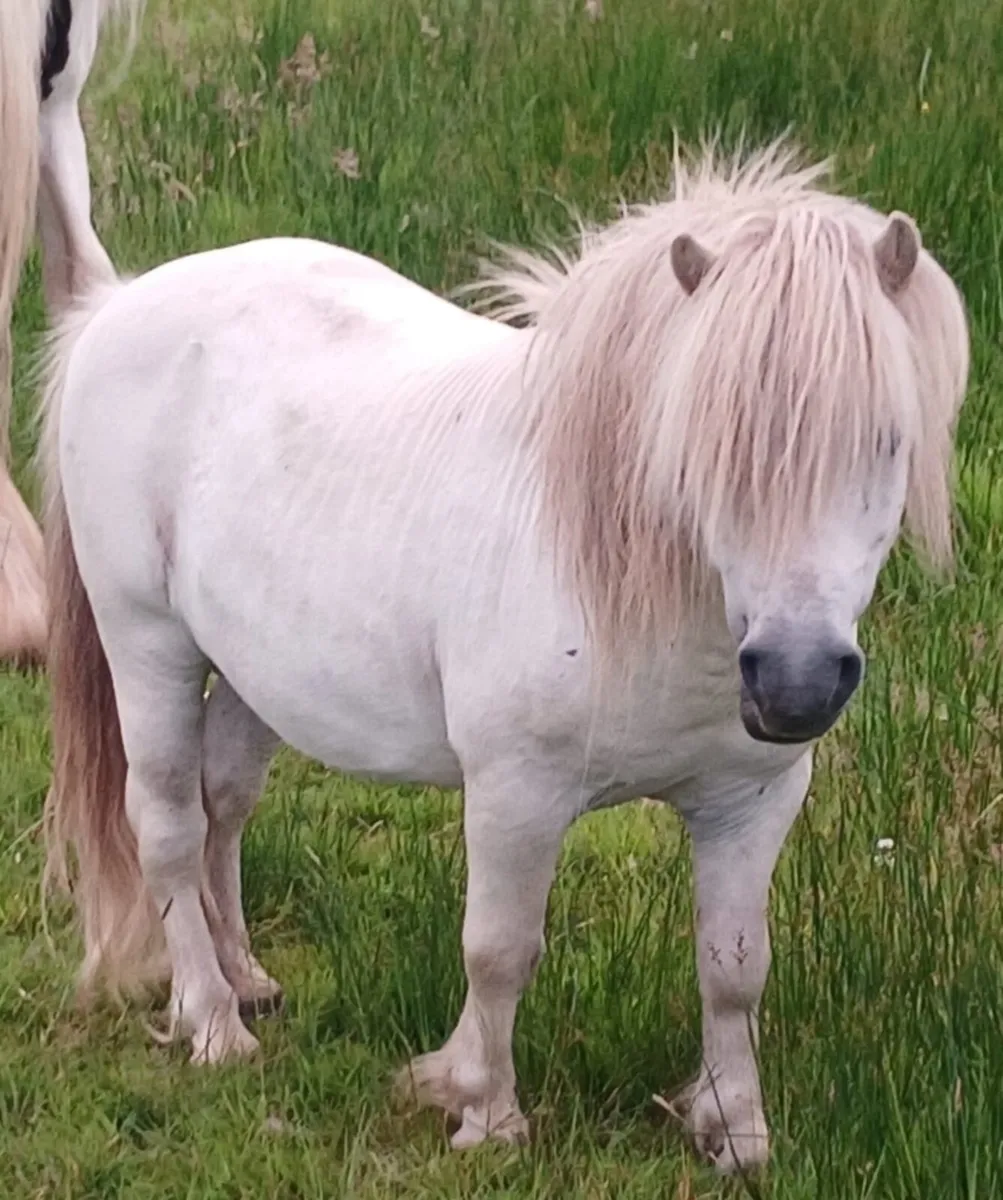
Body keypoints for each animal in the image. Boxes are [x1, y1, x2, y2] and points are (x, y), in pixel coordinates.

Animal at [40, 140, 969, 1174]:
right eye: (700, 447)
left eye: (886, 440)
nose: (795, 684)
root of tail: (116, 305)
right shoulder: (515, 794)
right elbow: (498, 950)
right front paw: (484, 1113)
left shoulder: (750, 800)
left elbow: (733, 966)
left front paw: (734, 1130)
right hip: (147, 644)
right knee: (165, 822)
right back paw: (211, 1023)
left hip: (253, 671)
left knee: (224, 804)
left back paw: (245, 979)